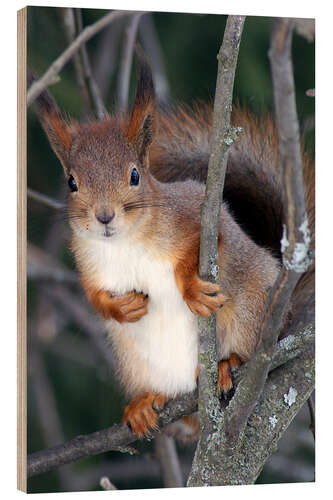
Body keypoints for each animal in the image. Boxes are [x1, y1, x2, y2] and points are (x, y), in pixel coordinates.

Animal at [29, 52, 314, 440]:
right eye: (71, 182)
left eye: (135, 175)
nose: (104, 217)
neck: (125, 243)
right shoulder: (88, 261)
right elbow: (93, 294)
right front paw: (120, 308)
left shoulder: (196, 210)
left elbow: (203, 245)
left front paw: (191, 288)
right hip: (136, 362)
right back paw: (145, 404)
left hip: (251, 313)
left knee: (247, 351)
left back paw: (227, 365)